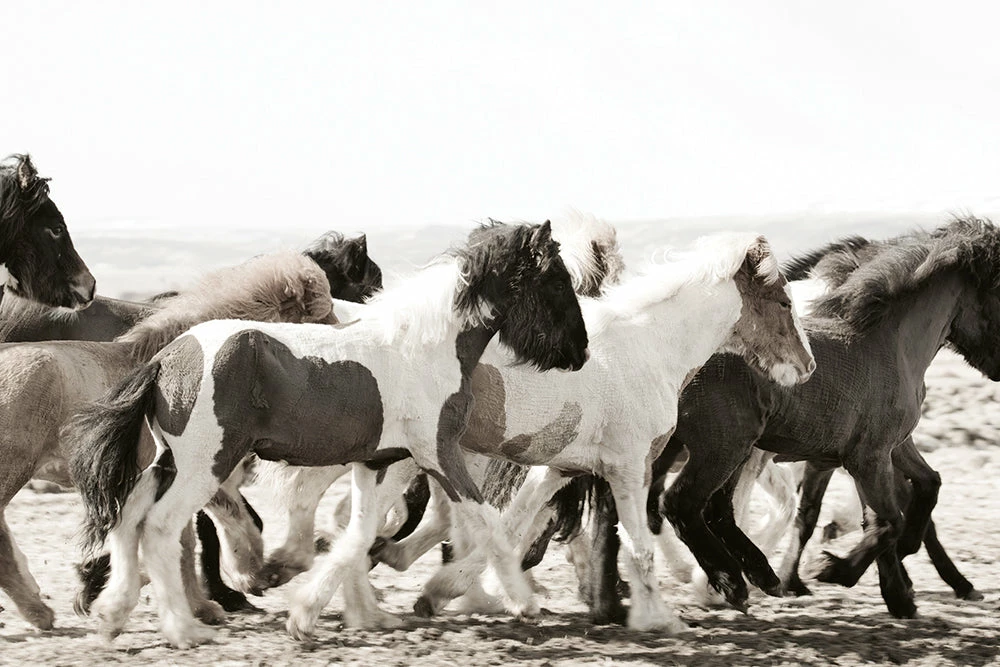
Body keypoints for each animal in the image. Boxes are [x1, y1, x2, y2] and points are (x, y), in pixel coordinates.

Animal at [0, 238, 380, 632]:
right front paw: (247, 576)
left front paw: (201, 603)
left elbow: (187, 540)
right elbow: (219, 528)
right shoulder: (202, 470)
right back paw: (39, 611)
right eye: (322, 313)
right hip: (14, 467)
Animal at [67, 219, 589, 647]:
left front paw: (328, 615)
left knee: (128, 515)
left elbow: (358, 534)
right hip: (205, 464)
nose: (580, 351)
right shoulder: (439, 454)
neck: (422, 349)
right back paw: (185, 629)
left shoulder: (376, 462)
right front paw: (523, 603)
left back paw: (112, 615)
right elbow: (487, 524)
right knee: (159, 527)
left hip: (166, 461)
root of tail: (167, 357)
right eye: (557, 280)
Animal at [640, 216, 1000, 621]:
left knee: (711, 510)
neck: (890, 345)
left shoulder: (890, 447)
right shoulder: (867, 457)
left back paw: (760, 575)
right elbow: (886, 521)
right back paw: (731, 582)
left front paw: (902, 589)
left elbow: (924, 487)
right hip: (721, 446)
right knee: (680, 504)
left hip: (722, 447)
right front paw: (835, 570)